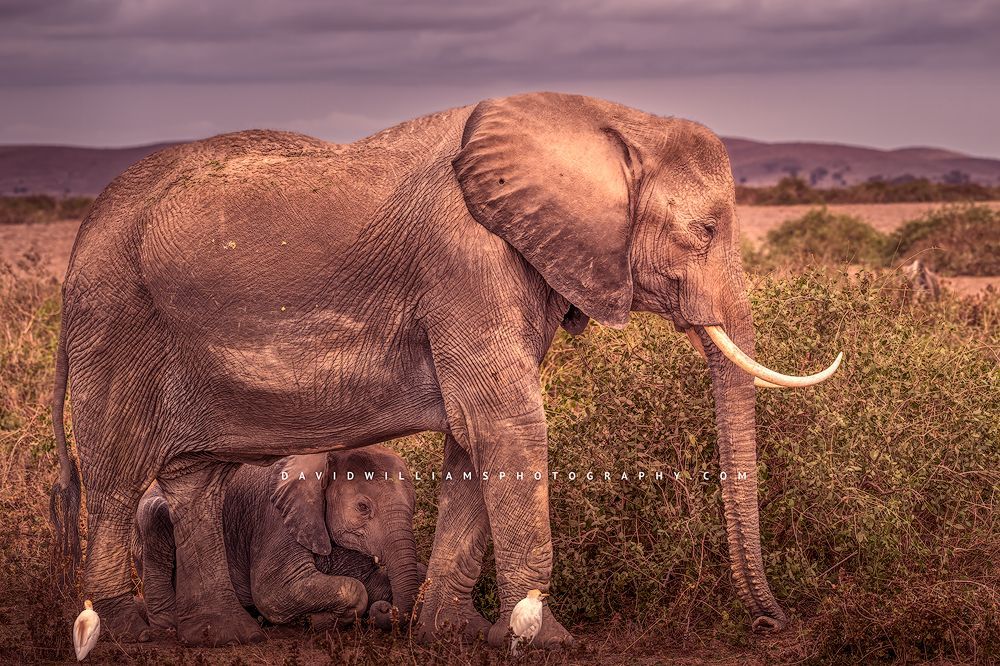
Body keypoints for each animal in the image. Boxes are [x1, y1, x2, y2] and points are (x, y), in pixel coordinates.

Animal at [132, 446, 421, 633]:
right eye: (363, 507)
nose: (385, 610)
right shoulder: (274, 518)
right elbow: (273, 591)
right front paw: (317, 621)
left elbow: (371, 582)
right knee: (154, 515)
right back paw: (169, 626)